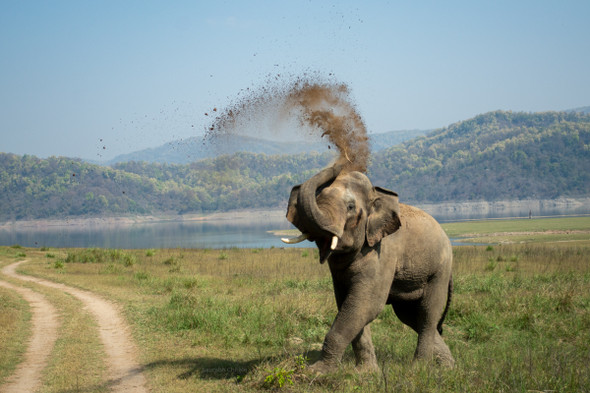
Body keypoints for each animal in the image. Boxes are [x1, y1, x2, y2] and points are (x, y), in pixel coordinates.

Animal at [284, 164, 458, 372]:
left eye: (350, 207)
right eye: (318, 198)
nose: (339, 164)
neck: (376, 195)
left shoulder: (383, 251)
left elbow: (367, 303)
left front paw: (316, 371)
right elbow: (349, 303)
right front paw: (366, 372)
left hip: (439, 270)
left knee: (427, 314)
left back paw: (419, 368)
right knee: (410, 316)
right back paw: (448, 367)